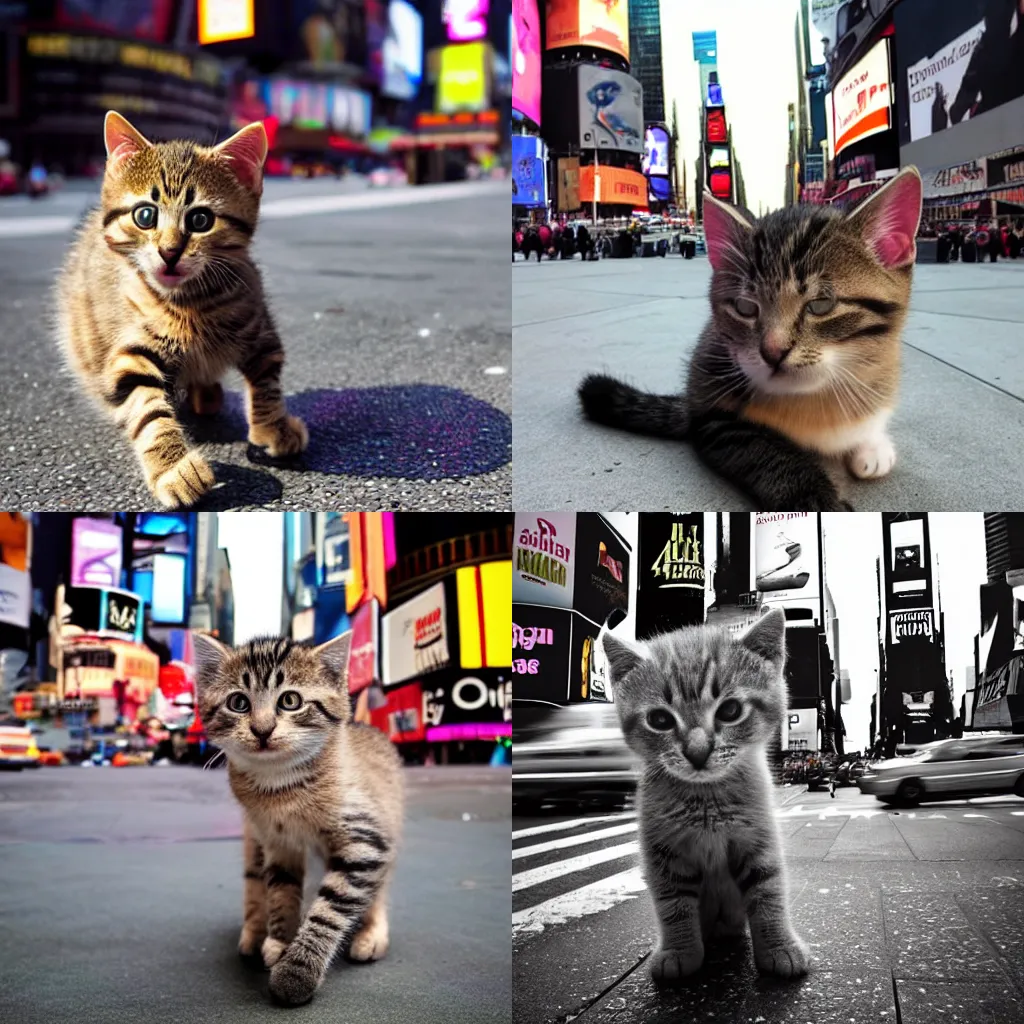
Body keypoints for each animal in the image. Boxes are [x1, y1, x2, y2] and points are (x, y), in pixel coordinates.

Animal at [58, 112, 305, 507]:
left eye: (200, 220)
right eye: (145, 216)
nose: (169, 251)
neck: (192, 302)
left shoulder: (260, 327)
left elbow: (267, 384)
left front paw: (273, 427)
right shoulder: (129, 355)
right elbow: (147, 410)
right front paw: (173, 468)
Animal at [192, 630, 403, 1007]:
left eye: (290, 701)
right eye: (238, 703)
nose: (262, 730)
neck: (282, 787)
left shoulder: (367, 839)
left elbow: (330, 909)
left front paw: (297, 971)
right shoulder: (276, 841)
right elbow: (280, 889)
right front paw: (279, 940)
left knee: (377, 890)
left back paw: (371, 933)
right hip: (253, 842)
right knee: (254, 881)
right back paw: (254, 931)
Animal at [581, 166, 925, 512]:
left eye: (821, 305)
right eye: (745, 307)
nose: (772, 351)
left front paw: (873, 443)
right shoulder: (714, 420)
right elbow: (764, 451)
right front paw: (814, 499)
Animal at [598, 606, 806, 983]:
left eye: (730, 711)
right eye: (660, 720)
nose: (697, 752)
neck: (707, 799)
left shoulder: (760, 840)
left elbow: (768, 893)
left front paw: (780, 947)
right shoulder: (662, 852)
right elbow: (673, 905)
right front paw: (679, 951)